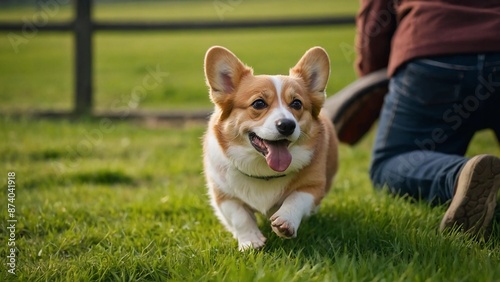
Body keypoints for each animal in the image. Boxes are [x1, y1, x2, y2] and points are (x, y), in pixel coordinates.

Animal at [201, 46, 338, 251]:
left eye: (296, 103)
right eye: (259, 103)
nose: (287, 125)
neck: (263, 171)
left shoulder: (313, 187)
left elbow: (296, 198)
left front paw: (286, 220)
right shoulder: (223, 195)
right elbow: (239, 216)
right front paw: (250, 241)